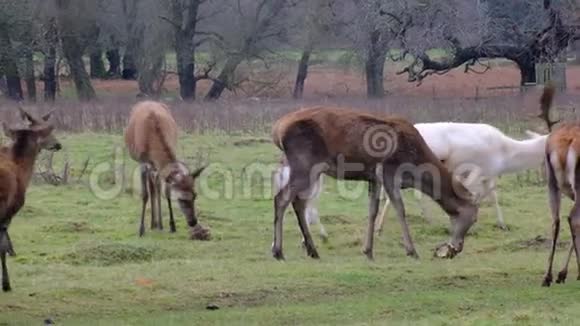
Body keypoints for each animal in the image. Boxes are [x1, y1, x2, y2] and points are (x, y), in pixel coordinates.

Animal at [124, 100, 211, 241]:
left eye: (195, 195)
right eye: (181, 199)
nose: (193, 222)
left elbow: (166, 192)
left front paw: (172, 225)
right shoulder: (142, 162)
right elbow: (145, 195)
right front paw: (141, 230)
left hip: (155, 168)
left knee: (156, 187)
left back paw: (158, 224)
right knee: (151, 188)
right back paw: (153, 223)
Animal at [270, 107, 478, 260]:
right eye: (474, 218)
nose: (458, 247)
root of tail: (277, 129)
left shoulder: (373, 178)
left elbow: (372, 211)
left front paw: (368, 251)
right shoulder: (388, 171)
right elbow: (400, 209)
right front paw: (411, 251)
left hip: (306, 167)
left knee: (298, 201)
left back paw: (312, 250)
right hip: (305, 163)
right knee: (282, 198)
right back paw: (279, 252)